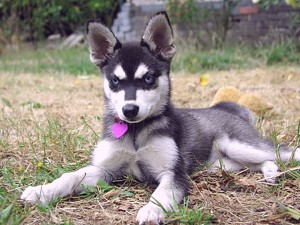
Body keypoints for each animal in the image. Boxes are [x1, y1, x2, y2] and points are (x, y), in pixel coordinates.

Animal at [21, 11, 300, 224]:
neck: (135, 133)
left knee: (281, 152)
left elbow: (163, 192)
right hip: (227, 163)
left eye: (148, 78)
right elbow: (70, 176)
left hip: (242, 146)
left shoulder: (172, 172)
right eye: (115, 81)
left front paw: (152, 210)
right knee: (263, 162)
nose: (129, 110)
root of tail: (226, 110)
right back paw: (270, 174)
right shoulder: (103, 169)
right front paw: (41, 191)